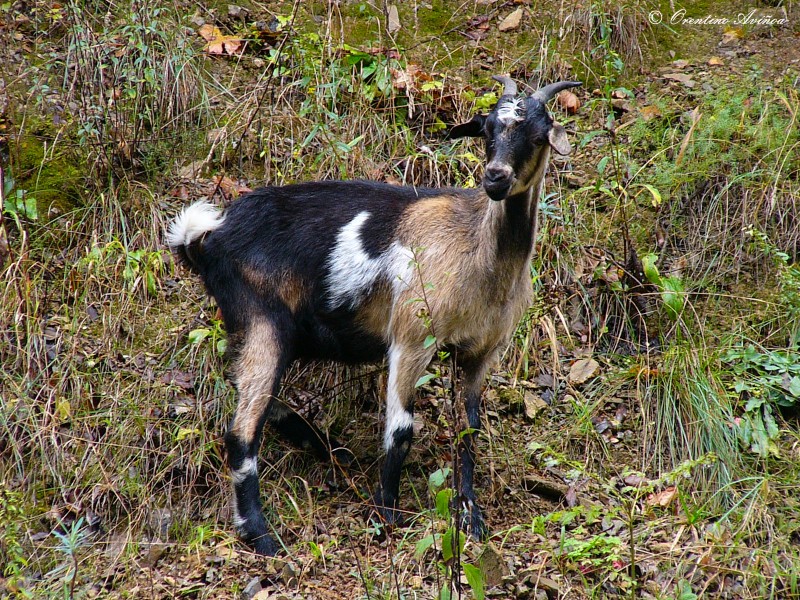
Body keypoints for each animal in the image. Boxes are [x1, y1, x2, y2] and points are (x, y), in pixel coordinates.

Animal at [169, 77, 580, 556]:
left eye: (537, 134)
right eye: (488, 130)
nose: (495, 177)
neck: (479, 250)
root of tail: (207, 237)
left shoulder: (481, 353)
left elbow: (468, 431)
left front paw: (471, 518)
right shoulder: (411, 338)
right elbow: (400, 429)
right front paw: (385, 516)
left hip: (264, 329)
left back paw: (321, 446)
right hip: (263, 322)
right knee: (241, 430)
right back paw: (262, 534)